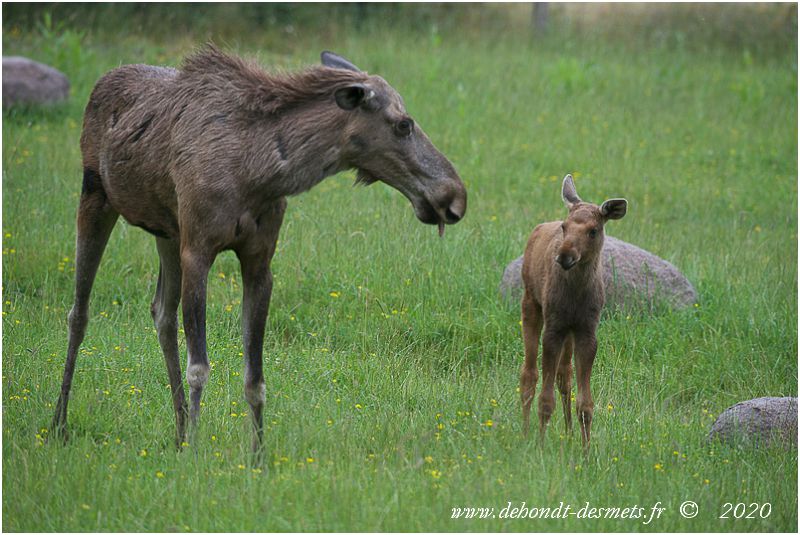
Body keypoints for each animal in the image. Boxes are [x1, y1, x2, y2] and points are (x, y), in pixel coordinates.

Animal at [53, 47, 466, 456]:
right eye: (403, 124)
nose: (455, 196)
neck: (260, 174)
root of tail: (104, 79)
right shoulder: (198, 251)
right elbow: (199, 365)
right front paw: (197, 453)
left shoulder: (258, 262)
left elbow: (255, 378)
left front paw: (256, 457)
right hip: (96, 196)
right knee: (80, 312)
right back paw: (61, 422)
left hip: (166, 231)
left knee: (161, 314)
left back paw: (179, 431)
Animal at [520, 174, 628, 446]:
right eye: (564, 227)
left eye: (593, 230)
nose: (564, 255)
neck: (576, 296)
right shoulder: (553, 328)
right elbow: (545, 400)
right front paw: (540, 445)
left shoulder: (586, 330)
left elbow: (585, 404)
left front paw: (585, 449)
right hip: (531, 303)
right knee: (529, 374)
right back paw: (525, 432)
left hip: (569, 331)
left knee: (564, 375)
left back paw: (568, 432)